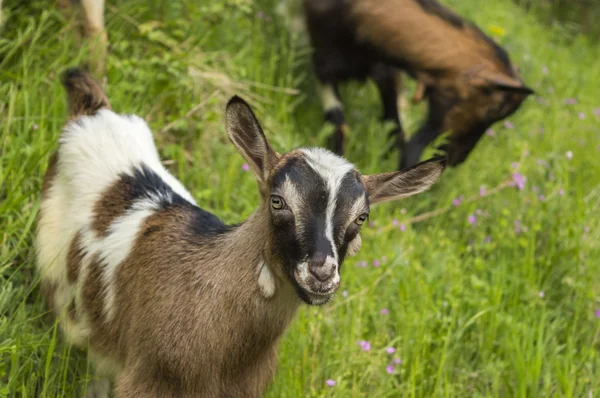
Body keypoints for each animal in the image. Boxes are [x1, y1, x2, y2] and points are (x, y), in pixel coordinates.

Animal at [302, 0, 532, 168]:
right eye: (494, 110)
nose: (457, 160)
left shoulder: (384, 68)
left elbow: (396, 122)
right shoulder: (324, 61)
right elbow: (338, 120)